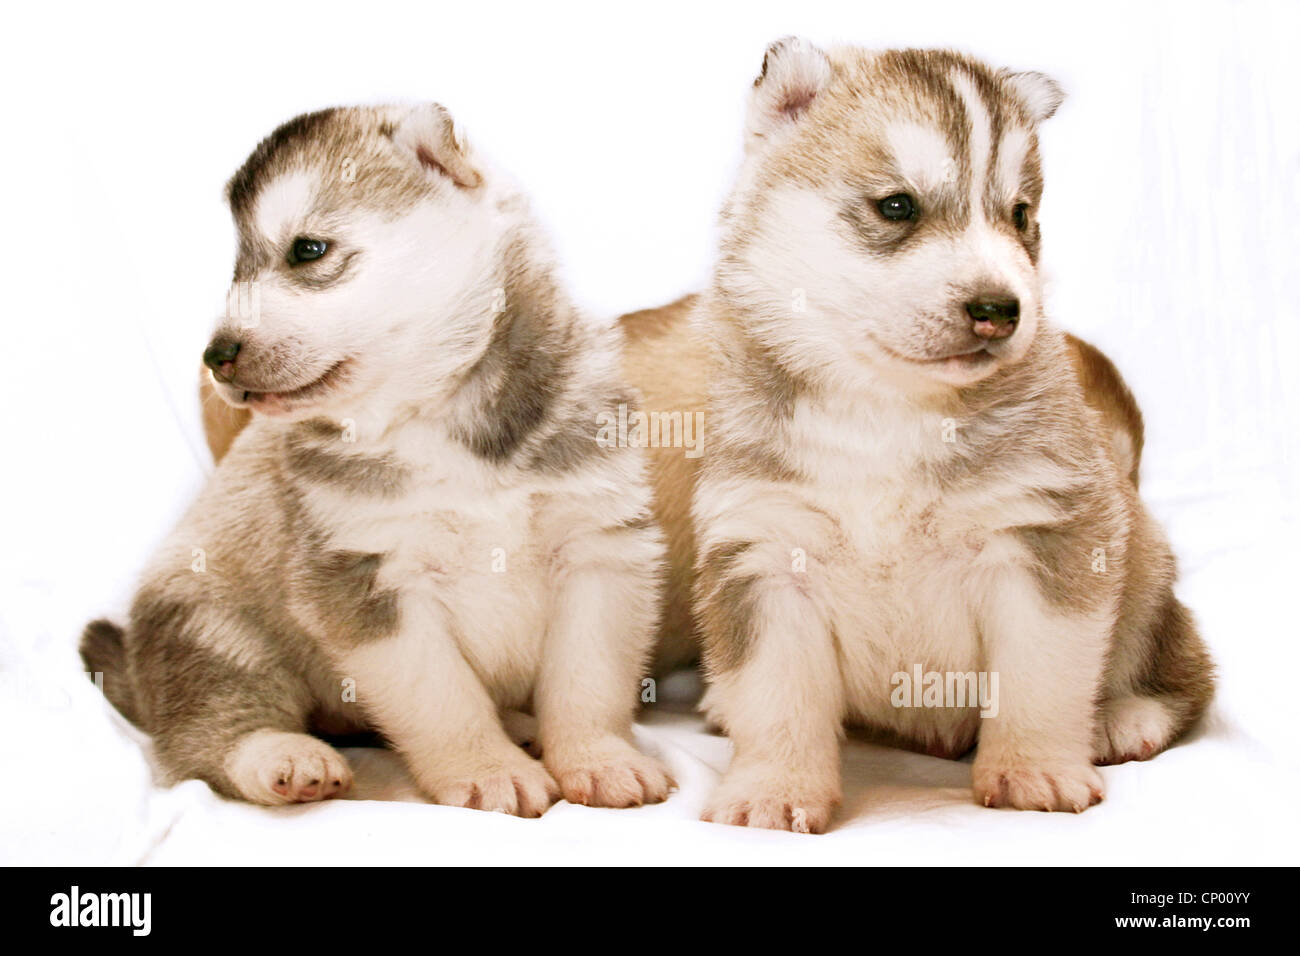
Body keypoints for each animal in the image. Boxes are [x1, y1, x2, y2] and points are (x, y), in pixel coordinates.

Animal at [82, 102, 676, 816]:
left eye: (308, 250)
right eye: (236, 268)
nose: (215, 355)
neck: (434, 415)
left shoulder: (600, 545)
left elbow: (589, 681)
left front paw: (599, 758)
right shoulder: (368, 579)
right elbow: (443, 696)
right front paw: (486, 770)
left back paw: (519, 725)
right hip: (211, 631)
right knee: (209, 738)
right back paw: (286, 758)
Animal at [676, 39, 1211, 832]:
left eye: (1020, 215)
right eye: (897, 206)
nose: (1000, 308)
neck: (885, 407)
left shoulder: (1044, 537)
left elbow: (1041, 678)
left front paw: (1035, 770)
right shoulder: (765, 550)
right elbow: (776, 695)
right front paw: (773, 789)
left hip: (1141, 565)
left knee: (1186, 666)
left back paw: (1125, 718)